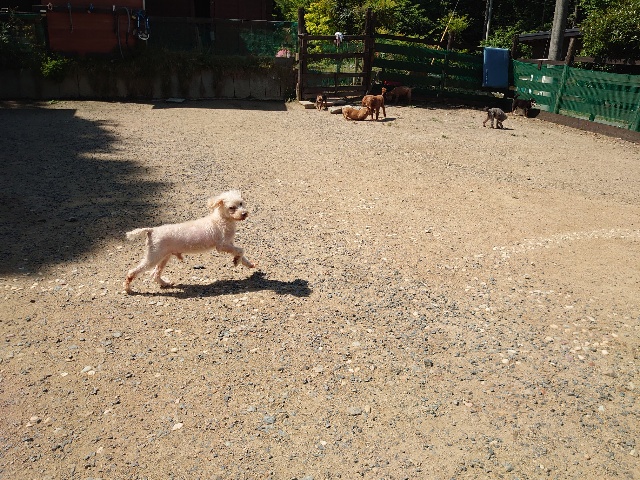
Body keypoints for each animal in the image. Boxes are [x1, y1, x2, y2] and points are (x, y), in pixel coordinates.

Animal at [124, 190, 254, 293]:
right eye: (231, 208)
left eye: (241, 203)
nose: (244, 214)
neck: (221, 220)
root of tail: (151, 230)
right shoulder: (222, 245)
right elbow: (241, 250)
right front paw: (236, 261)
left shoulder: (229, 244)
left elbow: (240, 253)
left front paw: (246, 263)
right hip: (153, 257)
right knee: (132, 272)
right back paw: (128, 288)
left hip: (164, 257)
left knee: (155, 274)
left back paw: (165, 283)